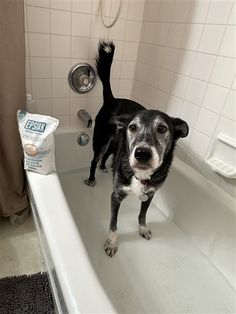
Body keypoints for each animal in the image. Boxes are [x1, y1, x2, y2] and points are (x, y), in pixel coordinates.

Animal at [85, 41, 188, 258]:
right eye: (133, 127)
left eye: (162, 128)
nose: (142, 153)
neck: (140, 175)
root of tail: (113, 99)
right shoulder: (115, 196)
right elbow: (113, 224)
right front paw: (112, 243)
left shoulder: (150, 194)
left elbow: (142, 214)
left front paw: (142, 228)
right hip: (101, 140)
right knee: (94, 159)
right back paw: (92, 177)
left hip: (114, 143)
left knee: (107, 157)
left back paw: (105, 167)